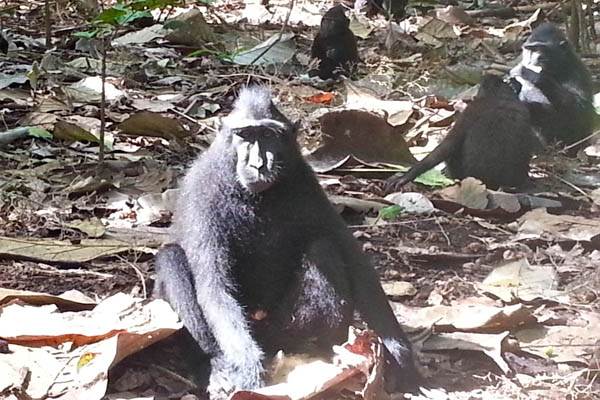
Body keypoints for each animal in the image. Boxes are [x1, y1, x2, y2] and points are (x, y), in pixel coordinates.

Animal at [152, 86, 420, 396]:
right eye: (245, 135)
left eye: (268, 135)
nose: (258, 164)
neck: (255, 196)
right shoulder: (203, 194)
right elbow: (214, 286)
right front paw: (247, 365)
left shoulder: (307, 184)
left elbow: (355, 262)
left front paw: (399, 353)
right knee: (172, 258)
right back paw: (215, 366)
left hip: (280, 327)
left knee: (323, 247)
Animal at [386, 76, 536, 192]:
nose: (513, 80)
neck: (498, 96)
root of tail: (492, 184)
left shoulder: (468, 112)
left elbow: (446, 146)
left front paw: (406, 176)